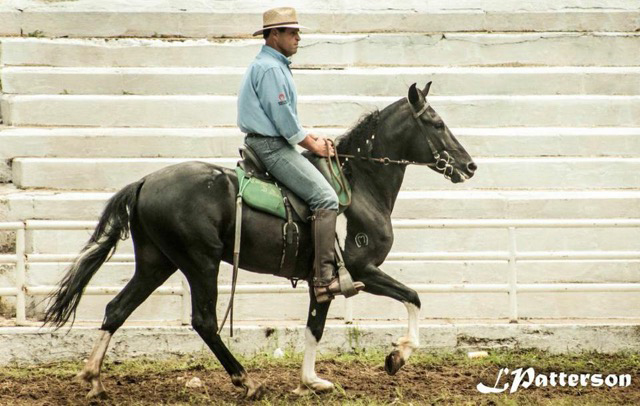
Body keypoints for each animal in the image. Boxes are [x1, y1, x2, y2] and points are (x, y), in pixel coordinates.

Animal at [43, 81, 476, 398]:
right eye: (436, 123)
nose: (469, 165)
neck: (360, 184)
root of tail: (145, 181)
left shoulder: (323, 283)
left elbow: (314, 328)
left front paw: (309, 382)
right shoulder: (362, 270)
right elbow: (414, 298)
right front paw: (397, 357)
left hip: (156, 263)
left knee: (117, 309)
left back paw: (94, 379)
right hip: (200, 263)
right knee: (204, 321)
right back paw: (245, 380)